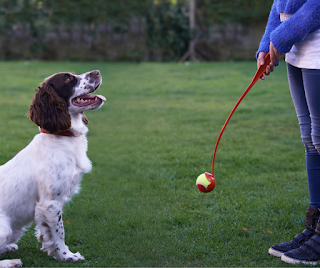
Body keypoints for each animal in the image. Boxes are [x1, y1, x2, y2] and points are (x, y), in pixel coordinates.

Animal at [0, 70, 105, 266]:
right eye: (68, 78)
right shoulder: (51, 202)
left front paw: (49, 249)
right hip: (5, 228)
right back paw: (11, 262)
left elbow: (47, 231)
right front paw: (66, 255)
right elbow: (59, 232)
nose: (96, 72)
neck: (62, 137)